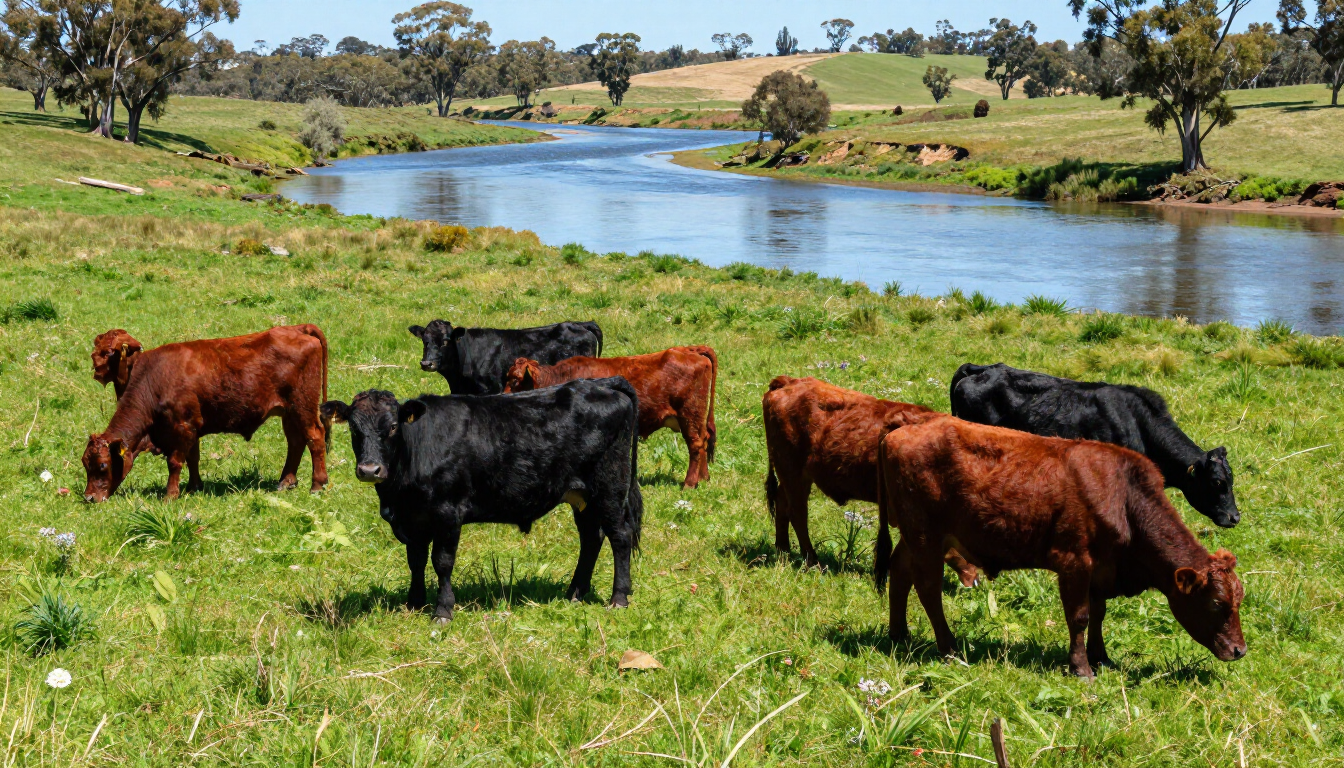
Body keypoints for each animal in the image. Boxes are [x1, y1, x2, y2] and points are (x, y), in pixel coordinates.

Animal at [82, 325, 329, 502]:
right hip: (289, 414)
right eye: (86, 463)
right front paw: (194, 487)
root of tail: (297, 328)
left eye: (103, 465)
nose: (89, 497)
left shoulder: (182, 427)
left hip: (303, 408)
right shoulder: (192, 428)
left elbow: (175, 462)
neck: (156, 379)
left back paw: (317, 485)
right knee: (296, 442)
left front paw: (170, 495)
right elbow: (193, 458)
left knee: (315, 438)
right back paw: (286, 481)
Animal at [320, 378, 642, 622]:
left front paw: (443, 610)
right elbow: (416, 561)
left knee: (620, 536)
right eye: (353, 428)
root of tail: (601, 383)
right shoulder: (413, 520)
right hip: (582, 496)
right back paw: (575, 593)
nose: (369, 470)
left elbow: (442, 562)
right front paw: (414, 603)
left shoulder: (448, 514)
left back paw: (618, 598)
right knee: (591, 538)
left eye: (393, 427)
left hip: (610, 487)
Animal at [504, 346, 717, 489]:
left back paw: (689, 484)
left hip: (689, 414)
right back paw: (704, 478)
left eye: (514, 381)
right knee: (705, 440)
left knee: (696, 445)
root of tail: (687, 349)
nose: (501, 397)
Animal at [762, 376, 977, 585]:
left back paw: (783, 551)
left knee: (782, 504)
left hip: (794, 476)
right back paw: (812, 560)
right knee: (797, 513)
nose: (975, 579)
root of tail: (787, 381)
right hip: (792, 472)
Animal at [874, 415, 1246, 679]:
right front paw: (1081, 667)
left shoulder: (1101, 570)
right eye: (1216, 603)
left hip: (916, 537)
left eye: (1239, 600)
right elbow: (1079, 617)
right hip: (926, 536)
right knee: (928, 588)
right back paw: (948, 646)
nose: (1240, 650)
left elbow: (1098, 613)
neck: (1123, 498)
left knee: (899, 570)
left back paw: (899, 633)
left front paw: (1102, 657)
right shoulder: (1075, 563)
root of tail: (902, 430)